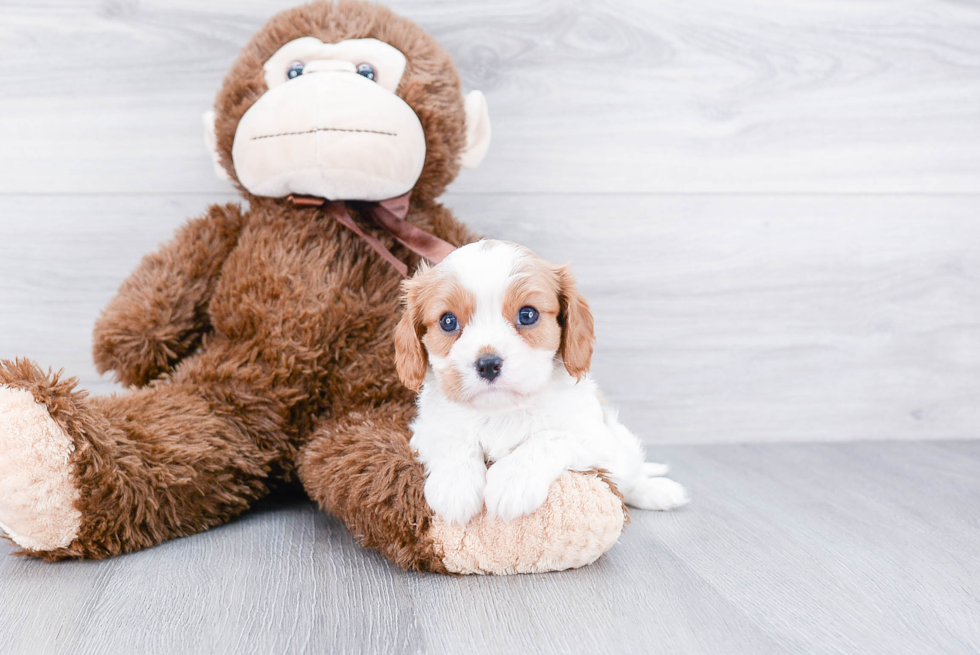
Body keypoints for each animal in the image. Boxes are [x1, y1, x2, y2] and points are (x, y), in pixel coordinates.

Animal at [392, 241, 688, 528]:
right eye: (448, 321)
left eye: (527, 315)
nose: (487, 364)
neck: (501, 412)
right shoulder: (424, 431)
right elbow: (453, 440)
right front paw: (454, 486)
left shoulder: (594, 437)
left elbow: (550, 437)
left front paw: (512, 481)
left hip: (621, 443)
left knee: (631, 479)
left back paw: (660, 492)